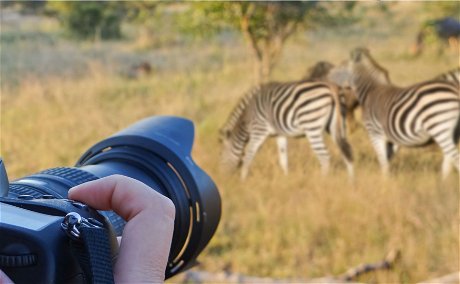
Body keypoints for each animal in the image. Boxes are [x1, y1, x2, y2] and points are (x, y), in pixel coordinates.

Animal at [221, 79, 354, 180]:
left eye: (220, 156)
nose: (224, 178)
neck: (247, 116)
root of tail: (332, 87)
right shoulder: (280, 134)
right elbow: (283, 159)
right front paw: (286, 179)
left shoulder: (259, 130)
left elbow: (249, 155)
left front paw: (242, 180)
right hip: (337, 126)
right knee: (347, 152)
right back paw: (351, 182)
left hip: (312, 126)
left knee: (325, 157)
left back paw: (323, 181)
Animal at [336, 47, 458, 179]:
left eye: (341, 67)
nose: (344, 107)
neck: (371, 91)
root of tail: (455, 91)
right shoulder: (392, 138)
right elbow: (387, 159)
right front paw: (387, 180)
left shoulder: (375, 132)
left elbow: (383, 161)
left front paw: (384, 182)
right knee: (448, 160)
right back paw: (444, 183)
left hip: (439, 127)